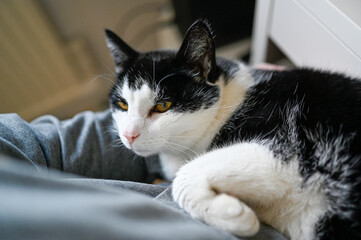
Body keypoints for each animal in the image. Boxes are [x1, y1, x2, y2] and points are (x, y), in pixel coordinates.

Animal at [104, 19, 360, 239]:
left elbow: (184, 175)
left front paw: (234, 215)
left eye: (163, 106)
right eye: (122, 104)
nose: (129, 135)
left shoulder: (284, 149)